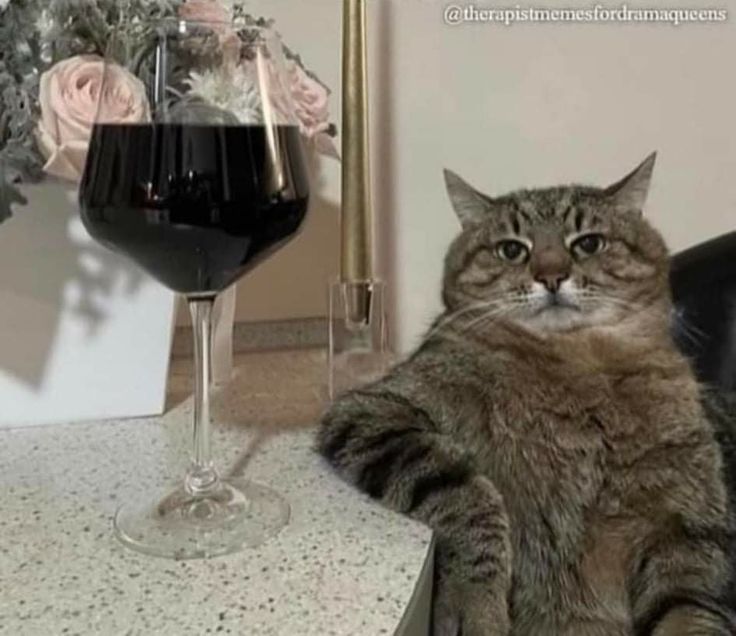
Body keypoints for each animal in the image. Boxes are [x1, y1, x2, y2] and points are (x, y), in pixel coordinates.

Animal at [314, 155, 736, 636]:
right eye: (512, 250)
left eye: (588, 243)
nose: (551, 276)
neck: (572, 364)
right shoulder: (373, 411)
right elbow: (472, 497)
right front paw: (474, 603)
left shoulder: (685, 527)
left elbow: (691, 611)